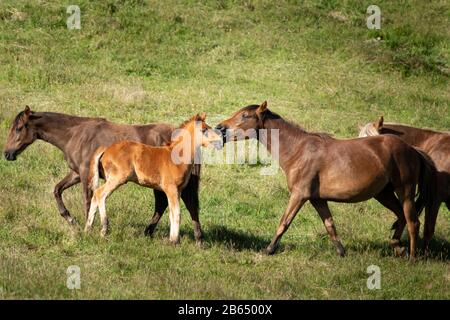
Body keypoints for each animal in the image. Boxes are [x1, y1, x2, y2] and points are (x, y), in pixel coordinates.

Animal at [2, 106, 203, 244]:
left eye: (19, 128)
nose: (7, 154)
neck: (75, 135)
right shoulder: (76, 173)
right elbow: (57, 190)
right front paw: (72, 220)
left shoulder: (85, 174)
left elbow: (88, 199)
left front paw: (88, 228)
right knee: (173, 205)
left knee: (180, 204)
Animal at [84, 112, 221, 242]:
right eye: (203, 130)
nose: (219, 141)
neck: (176, 158)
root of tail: (106, 149)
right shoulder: (171, 188)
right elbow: (176, 213)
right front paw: (174, 241)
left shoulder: (178, 190)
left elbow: (172, 213)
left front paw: (173, 239)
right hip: (117, 178)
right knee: (100, 194)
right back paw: (104, 229)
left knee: (95, 195)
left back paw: (88, 229)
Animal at [218, 102, 436, 260]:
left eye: (245, 116)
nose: (220, 127)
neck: (298, 150)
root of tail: (412, 150)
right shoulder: (318, 199)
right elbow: (330, 225)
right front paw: (341, 252)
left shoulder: (299, 195)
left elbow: (284, 222)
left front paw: (269, 249)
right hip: (384, 194)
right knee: (401, 217)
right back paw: (397, 247)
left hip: (404, 190)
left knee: (413, 221)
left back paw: (412, 257)